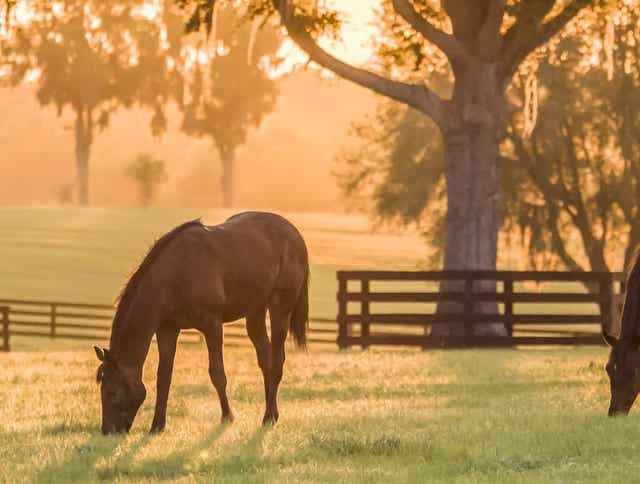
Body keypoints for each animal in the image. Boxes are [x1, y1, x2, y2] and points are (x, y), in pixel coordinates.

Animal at [92, 213, 308, 434]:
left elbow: (217, 374)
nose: (108, 431)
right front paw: (157, 425)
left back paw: (270, 416)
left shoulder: (212, 325)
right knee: (265, 359)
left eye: (112, 392)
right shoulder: (167, 330)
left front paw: (227, 417)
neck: (176, 273)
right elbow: (164, 378)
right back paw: (269, 413)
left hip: (280, 308)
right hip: (255, 311)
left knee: (276, 361)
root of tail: (294, 233)